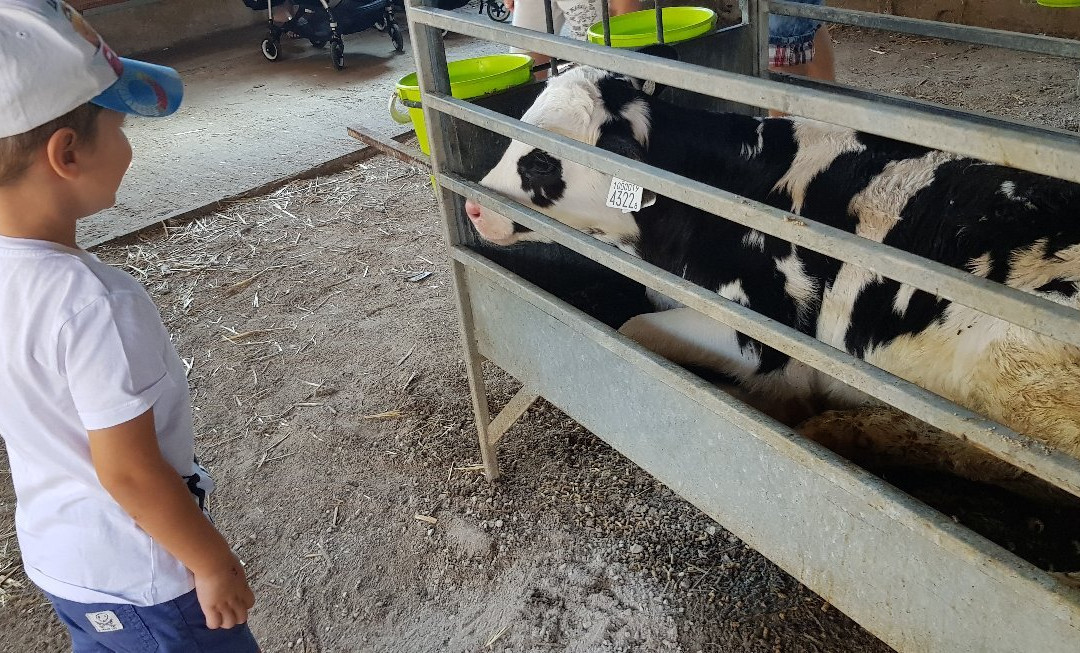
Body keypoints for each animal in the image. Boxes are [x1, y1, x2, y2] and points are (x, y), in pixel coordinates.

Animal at [462, 63, 1080, 484]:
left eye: (542, 159)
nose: (472, 206)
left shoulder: (766, 333)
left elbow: (634, 326)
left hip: (1015, 362)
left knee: (999, 459)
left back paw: (844, 429)